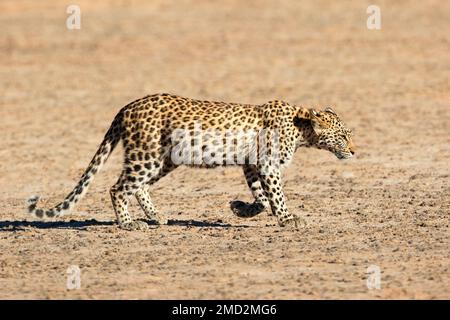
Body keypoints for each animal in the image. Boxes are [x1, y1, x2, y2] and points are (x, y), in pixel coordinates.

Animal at [26, 92, 356, 230]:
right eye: (342, 136)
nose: (354, 151)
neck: (301, 129)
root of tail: (127, 107)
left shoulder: (252, 164)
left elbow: (261, 198)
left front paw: (240, 209)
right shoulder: (267, 164)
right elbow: (275, 194)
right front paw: (288, 218)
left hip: (164, 158)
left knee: (138, 187)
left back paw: (155, 216)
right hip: (146, 155)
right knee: (118, 188)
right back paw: (130, 224)